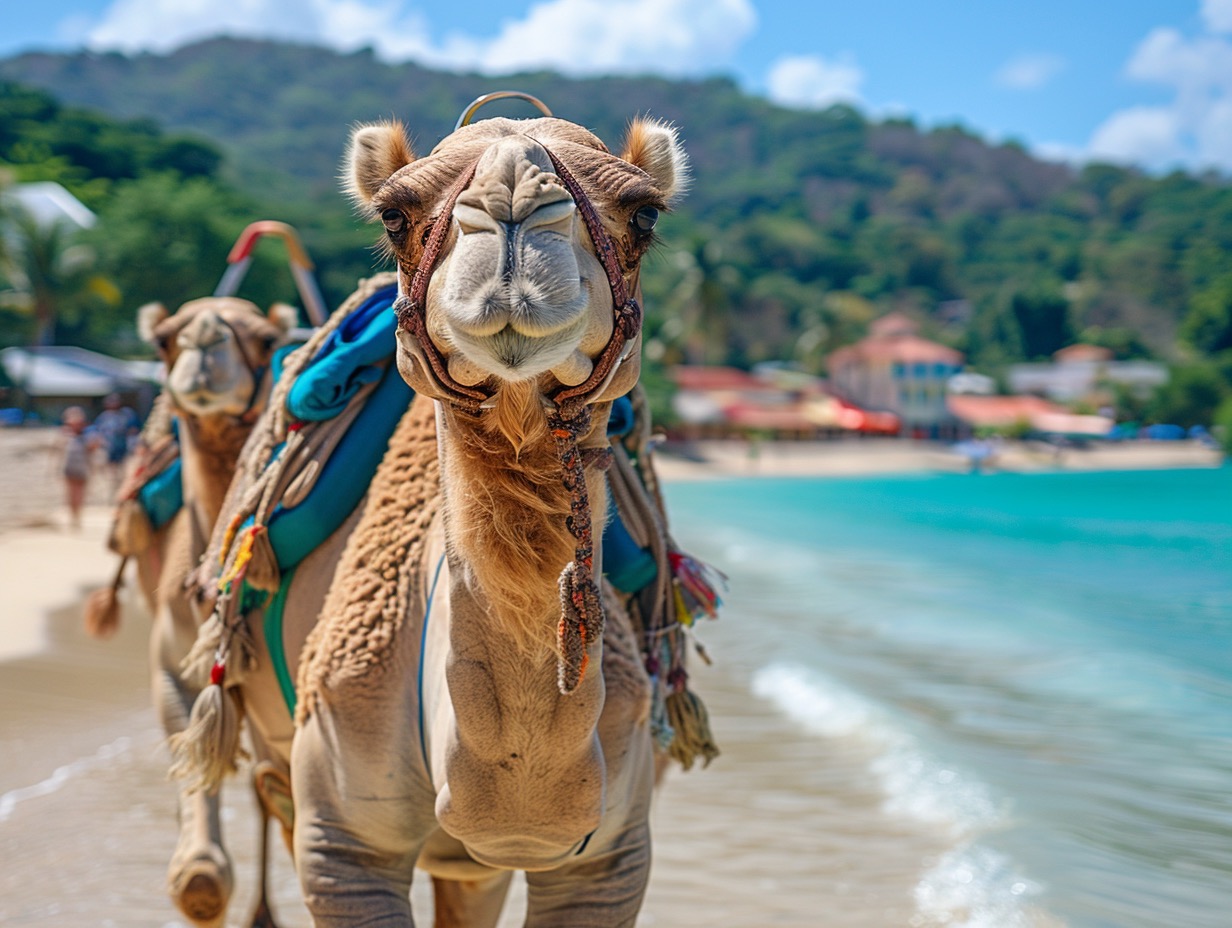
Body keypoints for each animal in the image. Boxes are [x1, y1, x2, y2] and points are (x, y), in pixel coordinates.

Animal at [93, 294, 297, 926]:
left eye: (262, 338)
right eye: (163, 338)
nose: (206, 337)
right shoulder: (174, 665)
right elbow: (201, 881)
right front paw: (199, 872)